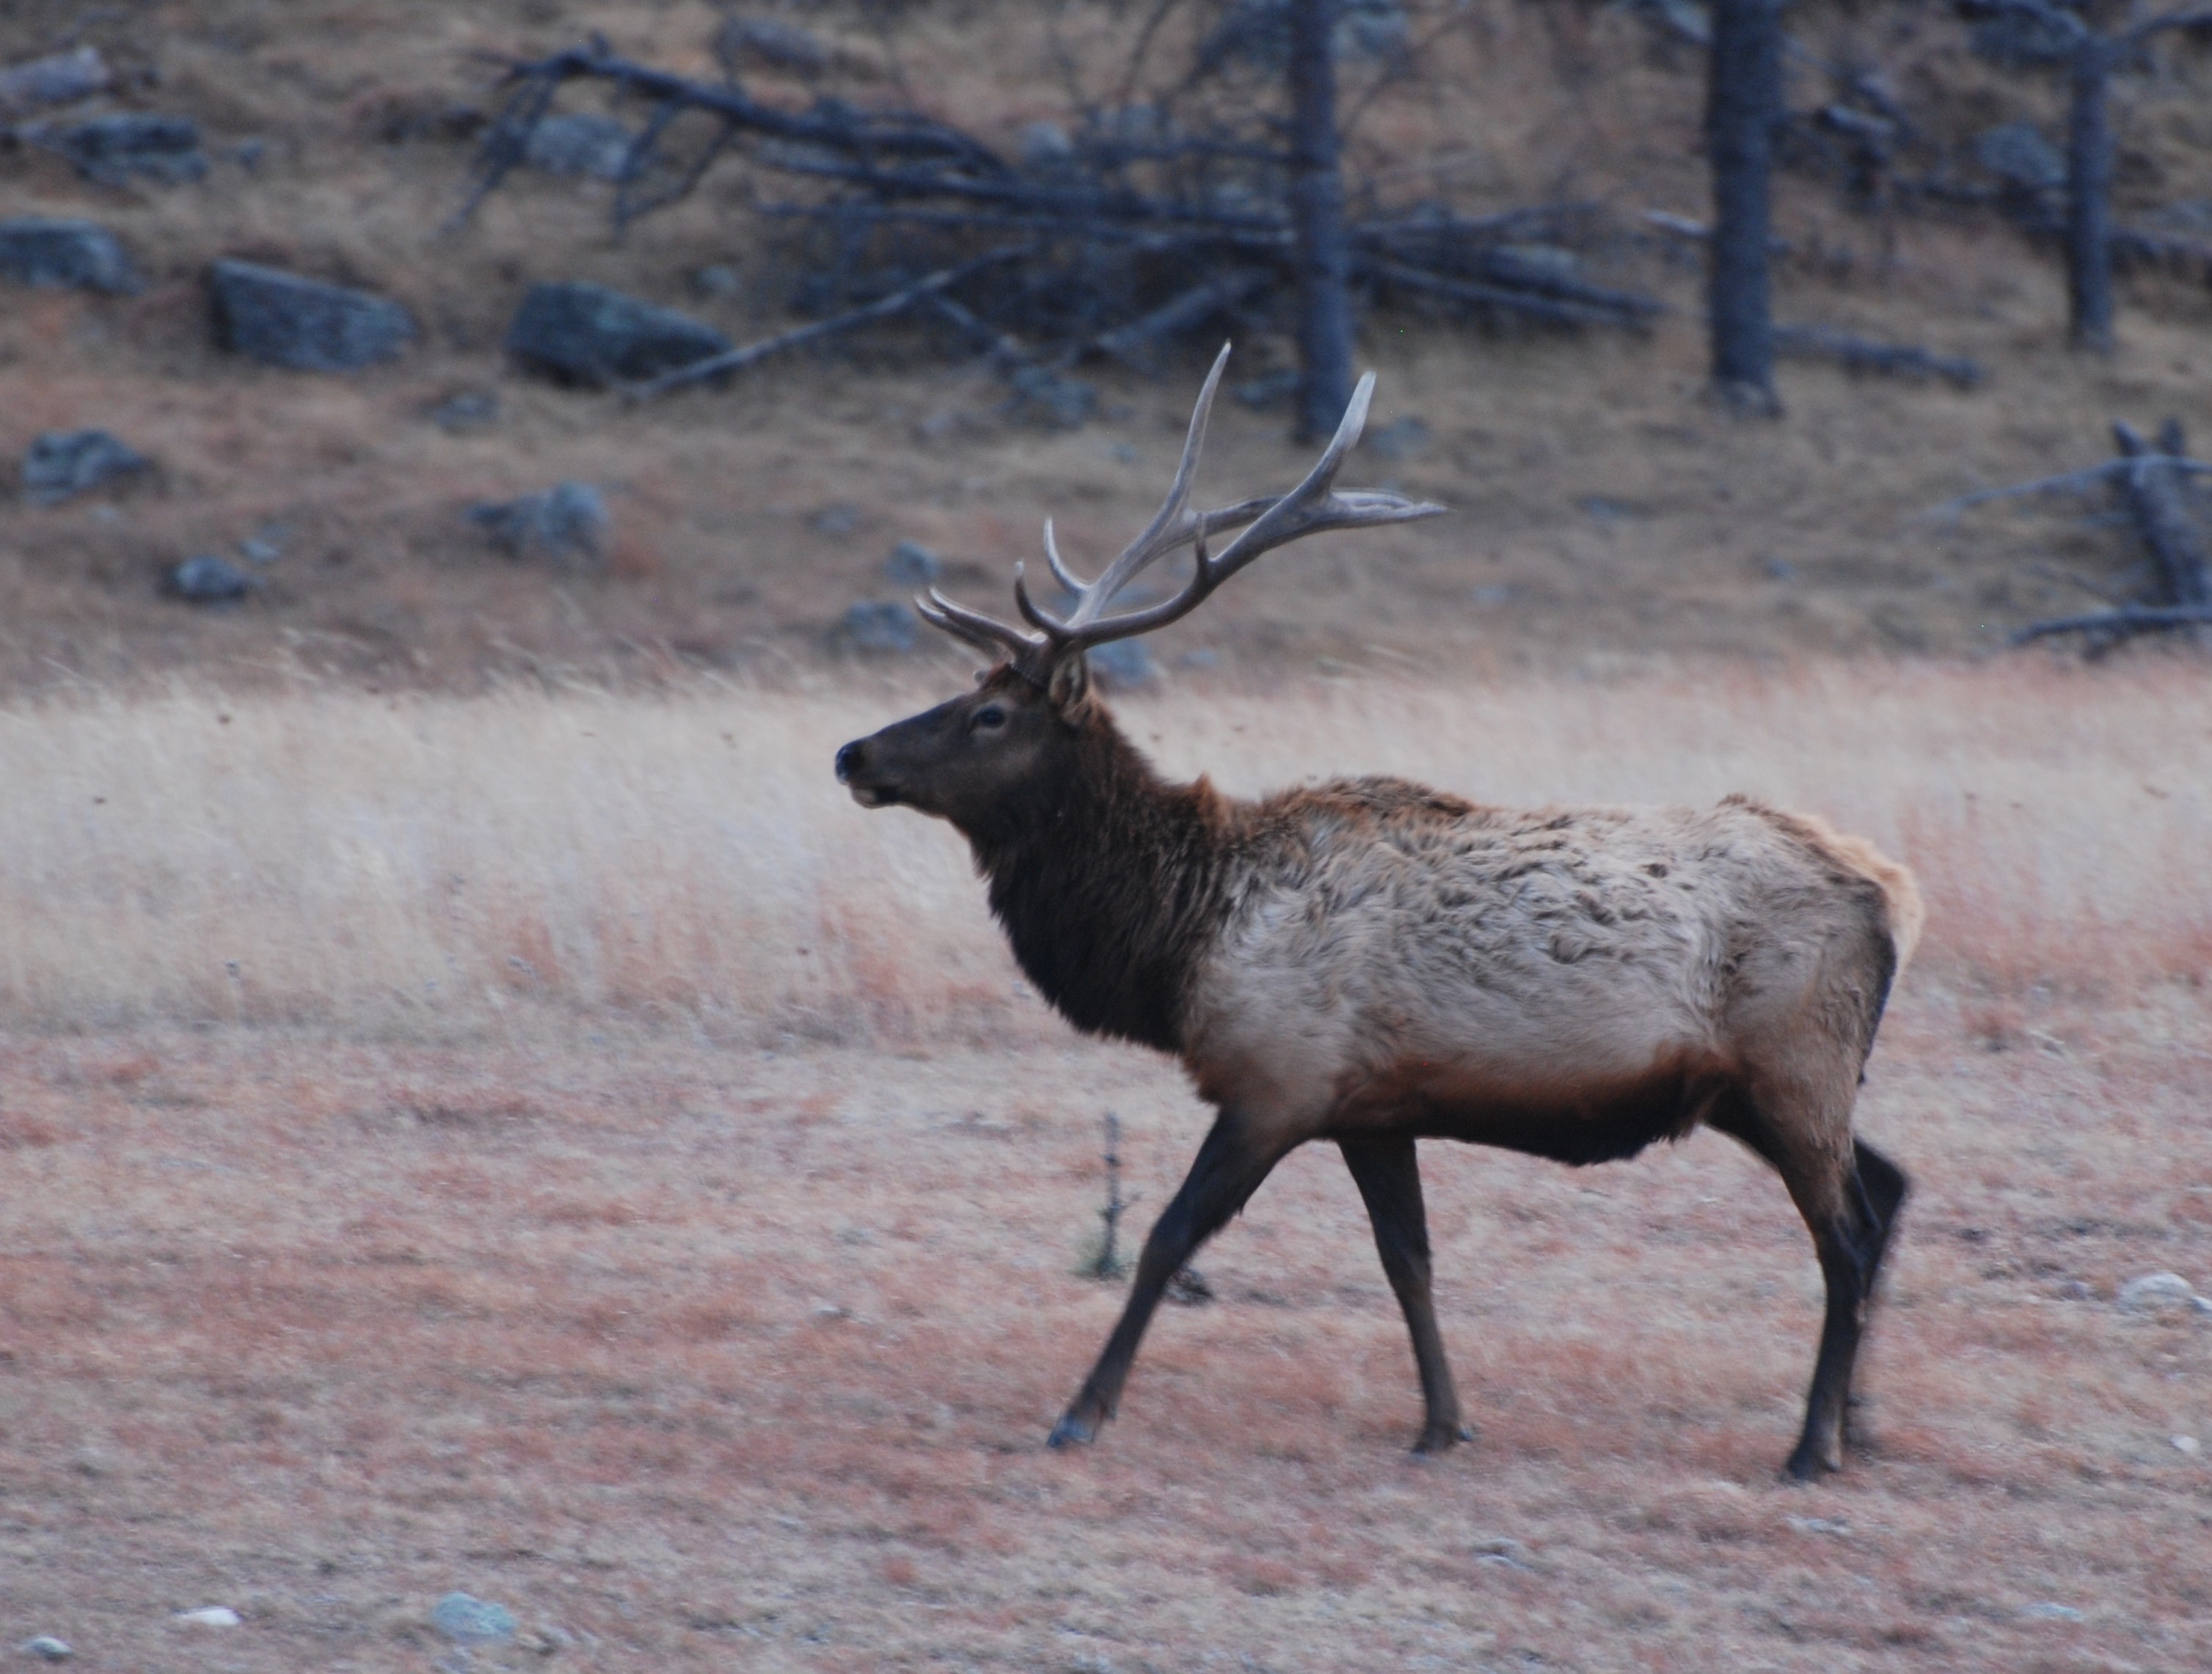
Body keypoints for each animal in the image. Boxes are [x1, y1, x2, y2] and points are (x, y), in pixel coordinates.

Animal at [836, 347, 1910, 1468]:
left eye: (990, 713)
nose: (853, 753)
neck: (1178, 938)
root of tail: (1888, 896)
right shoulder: (1371, 1109)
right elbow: (1408, 1260)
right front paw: (1443, 1419)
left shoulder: (1277, 1082)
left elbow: (1168, 1238)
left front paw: (1081, 1410)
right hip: (1768, 1084)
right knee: (1889, 1186)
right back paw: (1860, 1418)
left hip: (1794, 1063)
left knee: (1845, 1233)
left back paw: (1812, 1443)